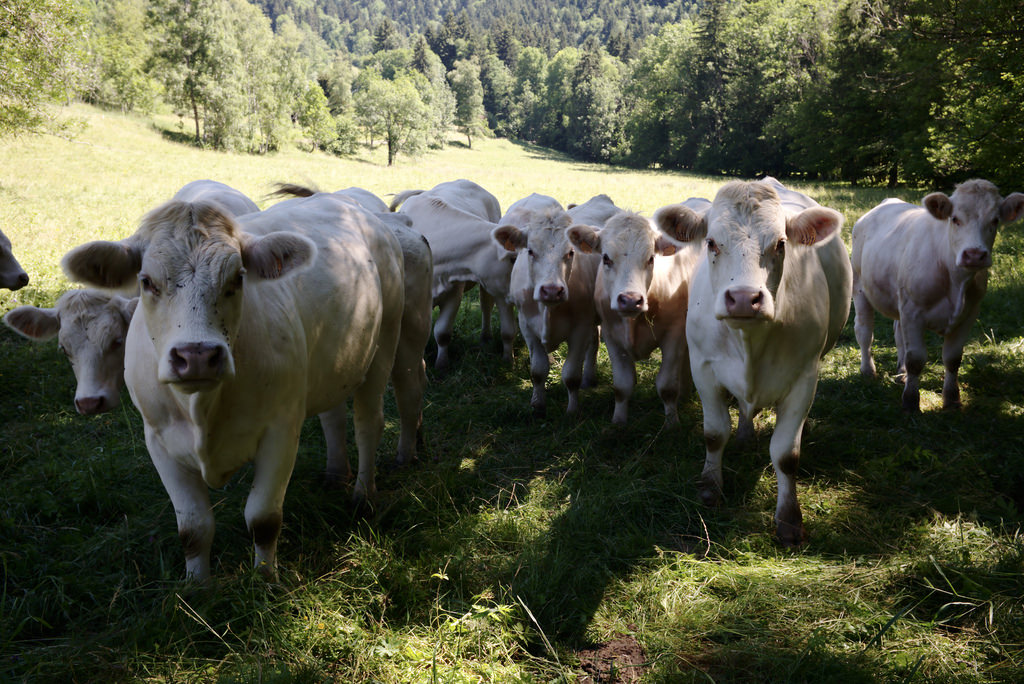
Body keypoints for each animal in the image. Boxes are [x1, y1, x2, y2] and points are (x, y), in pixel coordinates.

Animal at [61, 192, 406, 581]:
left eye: (238, 279)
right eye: (147, 281)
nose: (196, 356)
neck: (202, 408)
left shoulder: (281, 431)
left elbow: (263, 519)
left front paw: (266, 579)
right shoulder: (159, 439)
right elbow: (193, 529)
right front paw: (197, 585)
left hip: (384, 342)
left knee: (368, 423)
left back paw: (363, 495)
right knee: (333, 416)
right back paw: (336, 474)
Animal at [390, 179, 516, 371]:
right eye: (513, 259)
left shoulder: (454, 294)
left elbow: (442, 332)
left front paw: (441, 365)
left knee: (486, 304)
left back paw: (486, 337)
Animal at [568, 202, 705, 425]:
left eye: (651, 258)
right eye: (606, 258)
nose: (630, 299)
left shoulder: (674, 335)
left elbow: (667, 386)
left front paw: (672, 423)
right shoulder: (611, 336)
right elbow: (622, 386)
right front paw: (618, 421)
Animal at [656, 177, 852, 547]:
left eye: (780, 243)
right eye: (711, 243)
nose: (744, 299)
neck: (749, 341)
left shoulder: (805, 376)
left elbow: (786, 454)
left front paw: (789, 519)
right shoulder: (703, 367)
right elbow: (714, 433)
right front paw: (710, 488)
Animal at [852, 179, 1024, 412]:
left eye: (995, 220)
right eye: (955, 219)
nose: (974, 255)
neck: (956, 280)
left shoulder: (969, 313)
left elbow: (952, 358)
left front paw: (952, 399)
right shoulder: (913, 311)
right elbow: (915, 358)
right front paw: (910, 401)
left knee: (898, 333)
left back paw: (901, 372)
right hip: (859, 286)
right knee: (864, 331)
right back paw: (868, 370)